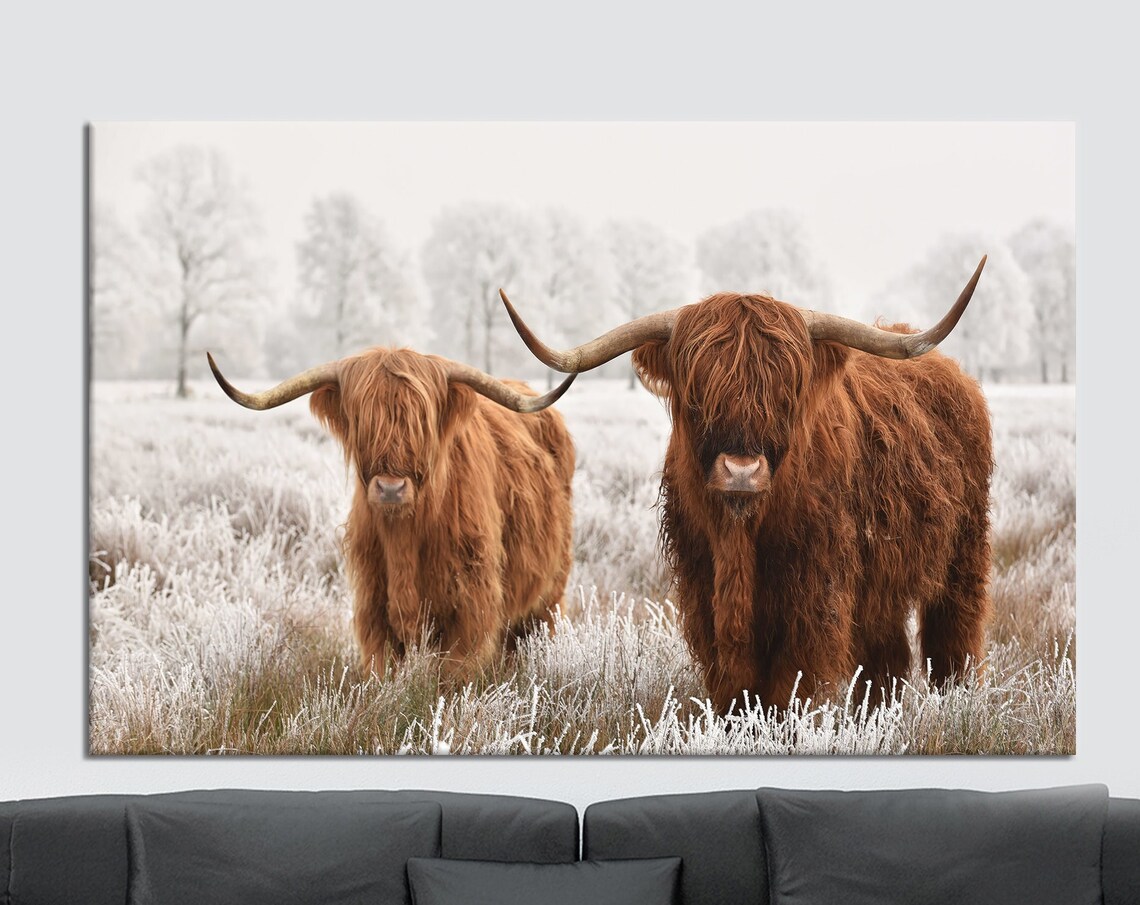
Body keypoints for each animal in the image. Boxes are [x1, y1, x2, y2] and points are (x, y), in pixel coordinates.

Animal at [207, 347, 577, 681]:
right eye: (361, 420)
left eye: (422, 422)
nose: (390, 488)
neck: (405, 535)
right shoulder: (373, 603)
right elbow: (381, 670)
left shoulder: (471, 603)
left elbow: (454, 675)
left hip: (549, 592)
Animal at [500, 257, 992, 714]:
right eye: (696, 393)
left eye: (786, 392)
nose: (741, 470)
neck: (740, 537)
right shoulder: (703, 590)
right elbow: (733, 684)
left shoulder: (815, 594)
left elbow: (790, 685)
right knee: (886, 656)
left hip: (964, 554)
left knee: (953, 638)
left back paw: (955, 702)